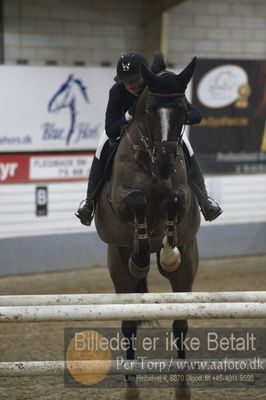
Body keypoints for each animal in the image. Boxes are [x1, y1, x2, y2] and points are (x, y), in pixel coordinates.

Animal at [94, 57, 201, 400]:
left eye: (181, 109)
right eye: (152, 108)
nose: (166, 162)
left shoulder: (182, 195)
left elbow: (176, 198)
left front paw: (168, 251)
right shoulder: (120, 200)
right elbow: (137, 200)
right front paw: (142, 255)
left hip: (187, 269)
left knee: (180, 321)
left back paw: (182, 374)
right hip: (118, 267)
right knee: (128, 322)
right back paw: (131, 376)